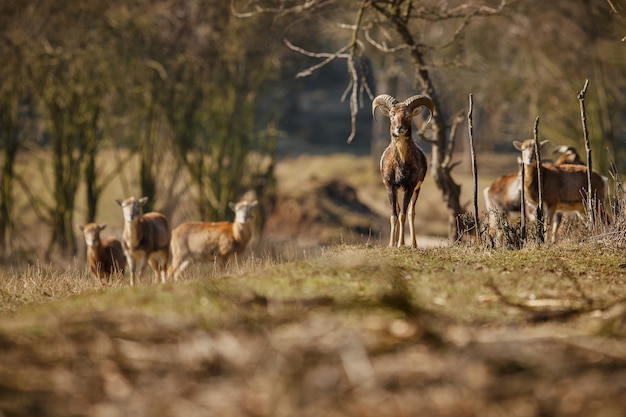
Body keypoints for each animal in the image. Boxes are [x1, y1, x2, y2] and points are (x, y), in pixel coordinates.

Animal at [372, 94, 432, 247]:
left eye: (408, 115)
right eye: (392, 114)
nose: (399, 128)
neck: (400, 166)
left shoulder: (410, 187)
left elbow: (403, 215)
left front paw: (400, 244)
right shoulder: (390, 187)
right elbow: (394, 216)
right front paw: (391, 245)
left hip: (417, 190)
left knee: (411, 213)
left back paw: (413, 244)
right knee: (400, 211)